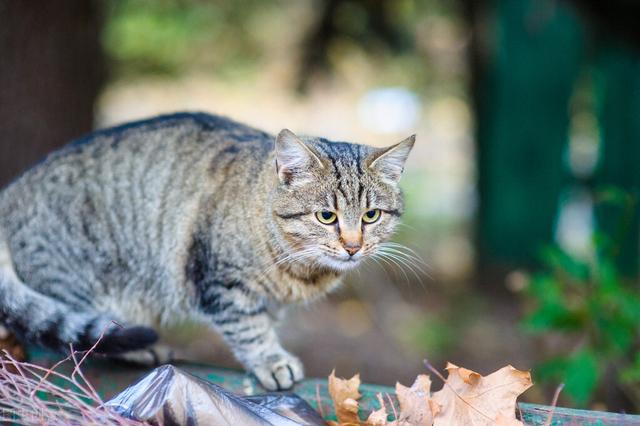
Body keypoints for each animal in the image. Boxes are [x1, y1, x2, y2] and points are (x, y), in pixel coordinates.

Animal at [0, 112, 416, 390]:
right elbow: (250, 330)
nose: (353, 246)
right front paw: (271, 361)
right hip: (80, 282)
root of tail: (12, 189)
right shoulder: (221, 282)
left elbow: (264, 324)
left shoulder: (270, 302)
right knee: (80, 337)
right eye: (327, 216)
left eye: (371, 215)